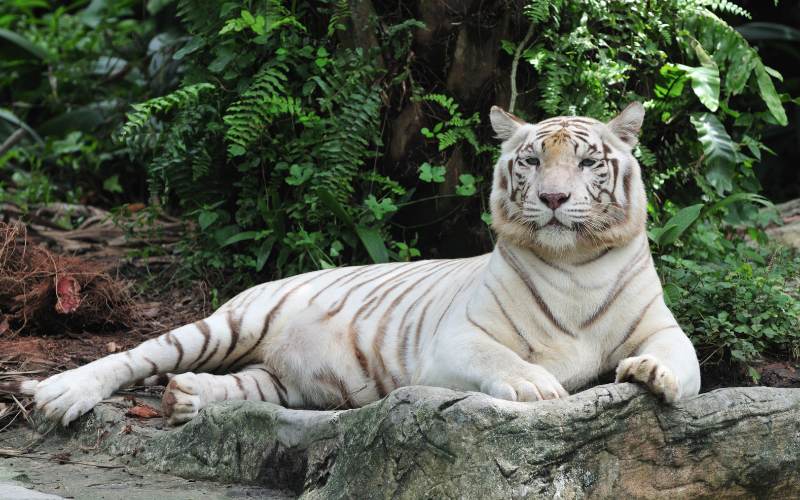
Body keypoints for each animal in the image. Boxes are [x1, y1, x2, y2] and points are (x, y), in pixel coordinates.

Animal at [12, 101, 700, 426]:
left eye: (586, 162)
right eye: (531, 161)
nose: (554, 198)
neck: (576, 266)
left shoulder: (661, 325)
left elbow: (684, 362)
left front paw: (652, 375)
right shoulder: (455, 340)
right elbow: (500, 359)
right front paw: (538, 387)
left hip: (282, 379)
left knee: (240, 386)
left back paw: (188, 399)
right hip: (227, 323)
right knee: (135, 356)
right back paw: (58, 395)